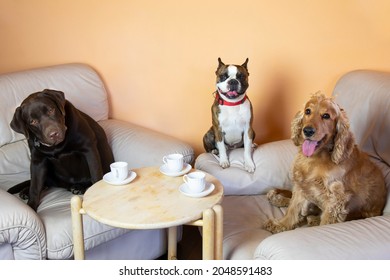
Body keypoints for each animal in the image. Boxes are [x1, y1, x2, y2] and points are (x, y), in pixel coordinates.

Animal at [266, 93, 386, 233]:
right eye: (308, 111)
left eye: (326, 116)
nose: (307, 131)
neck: (315, 158)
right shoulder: (302, 185)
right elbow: (293, 208)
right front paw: (281, 224)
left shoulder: (335, 200)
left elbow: (325, 223)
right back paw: (277, 198)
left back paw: (312, 218)